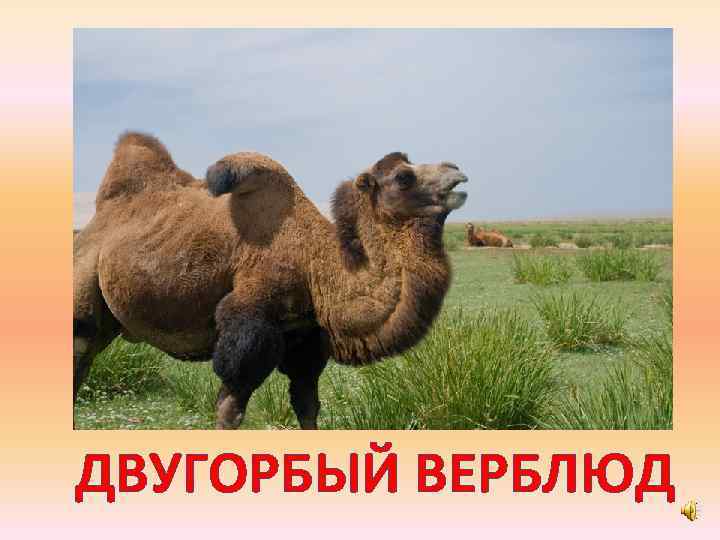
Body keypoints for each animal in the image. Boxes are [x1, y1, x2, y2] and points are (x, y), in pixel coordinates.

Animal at [74, 132, 469, 429]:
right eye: (404, 177)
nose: (458, 172)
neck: (313, 264)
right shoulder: (248, 322)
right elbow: (229, 409)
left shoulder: (305, 336)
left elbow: (308, 405)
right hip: (82, 292)